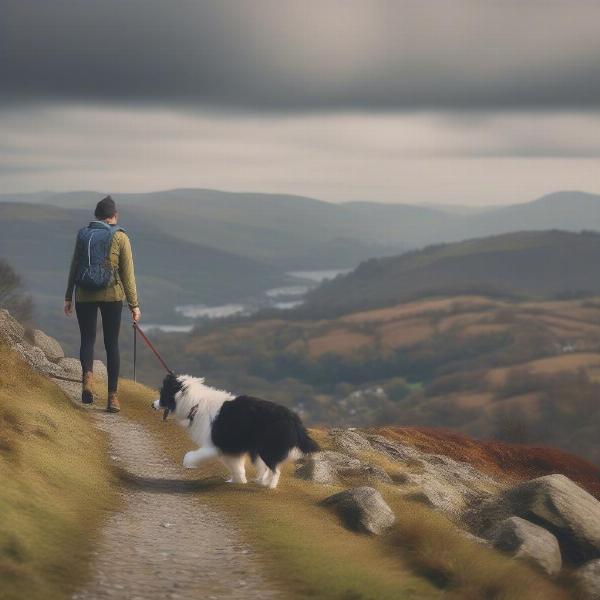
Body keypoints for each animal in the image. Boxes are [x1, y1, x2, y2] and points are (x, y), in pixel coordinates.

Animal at [152, 376, 318, 488]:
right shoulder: (230, 449)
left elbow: (194, 454)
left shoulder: (214, 445)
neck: (195, 404)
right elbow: (236, 466)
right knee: (268, 467)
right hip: (260, 449)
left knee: (275, 470)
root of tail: (293, 419)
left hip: (268, 448)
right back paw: (260, 481)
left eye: (162, 395)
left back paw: (268, 485)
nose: (152, 405)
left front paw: (188, 462)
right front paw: (238, 480)